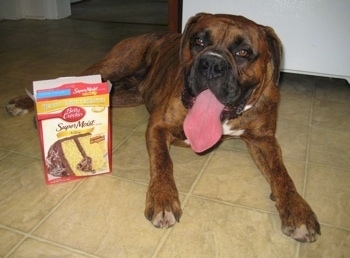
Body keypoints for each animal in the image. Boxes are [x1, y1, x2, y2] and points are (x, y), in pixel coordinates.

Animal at [8, 12, 320, 242]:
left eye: (243, 52)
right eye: (198, 41)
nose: (211, 64)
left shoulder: (264, 140)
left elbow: (282, 175)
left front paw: (298, 211)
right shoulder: (158, 127)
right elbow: (163, 163)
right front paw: (163, 200)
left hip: (125, 94)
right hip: (113, 66)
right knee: (72, 79)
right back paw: (27, 105)